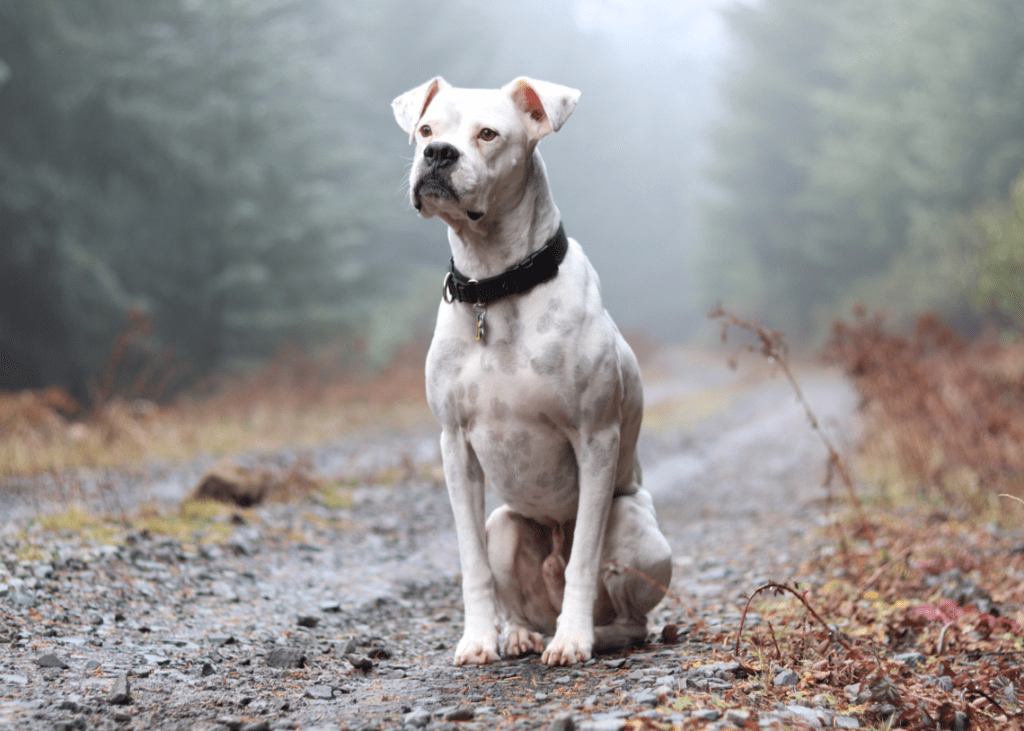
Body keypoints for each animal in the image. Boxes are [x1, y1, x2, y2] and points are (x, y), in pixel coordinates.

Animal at [391, 76, 671, 663]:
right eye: (425, 129)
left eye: (488, 134)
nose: (438, 154)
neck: (495, 286)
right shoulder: (455, 446)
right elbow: (470, 560)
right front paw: (478, 639)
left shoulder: (596, 438)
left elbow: (585, 555)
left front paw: (573, 640)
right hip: (506, 526)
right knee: (519, 594)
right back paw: (520, 633)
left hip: (637, 533)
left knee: (628, 615)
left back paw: (590, 634)